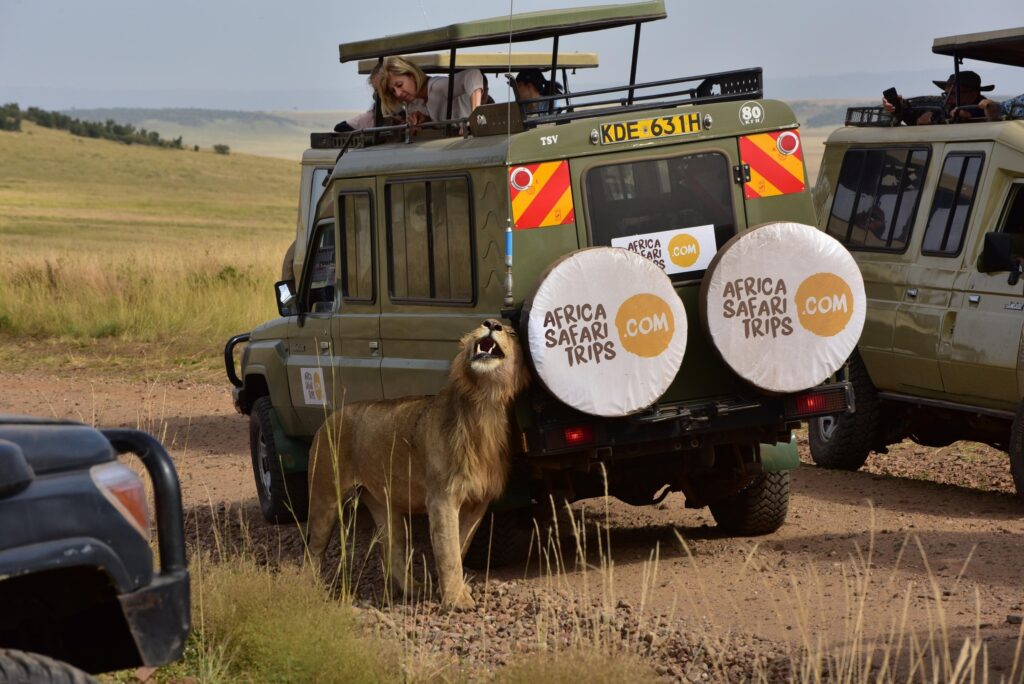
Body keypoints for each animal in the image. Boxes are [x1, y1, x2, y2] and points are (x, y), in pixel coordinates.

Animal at [305, 319, 529, 609]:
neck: (484, 402)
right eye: (483, 326)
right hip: (325, 499)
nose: (491, 323)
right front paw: (457, 601)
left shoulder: (478, 502)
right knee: (313, 550)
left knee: (392, 551)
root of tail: (327, 420)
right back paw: (309, 591)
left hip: (384, 507)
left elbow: (460, 545)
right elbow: (449, 552)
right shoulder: (441, 498)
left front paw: (450, 590)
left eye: (511, 333)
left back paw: (414, 589)